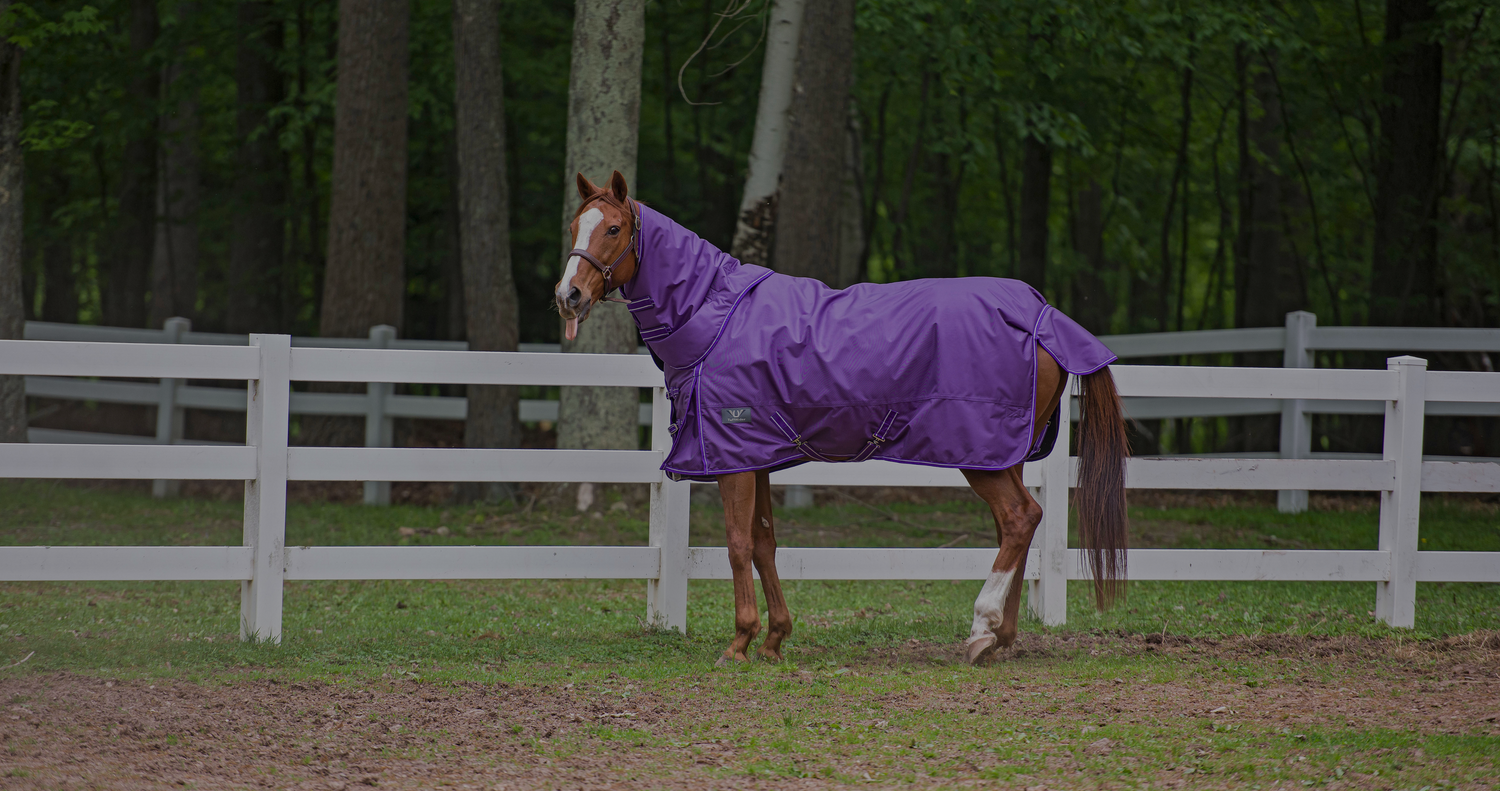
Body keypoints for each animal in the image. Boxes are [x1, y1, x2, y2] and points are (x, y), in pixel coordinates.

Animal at [555, 170, 1128, 666]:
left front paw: (739, 643)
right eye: (574, 227)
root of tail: (1042, 314)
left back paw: (982, 629)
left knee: (1017, 518)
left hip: (981, 454)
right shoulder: (758, 457)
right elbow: (763, 543)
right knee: (1021, 522)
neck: (712, 318)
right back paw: (1000, 637)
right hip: (1002, 454)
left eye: (613, 228)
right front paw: (774, 640)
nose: (568, 295)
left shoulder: (733, 458)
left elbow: (737, 545)